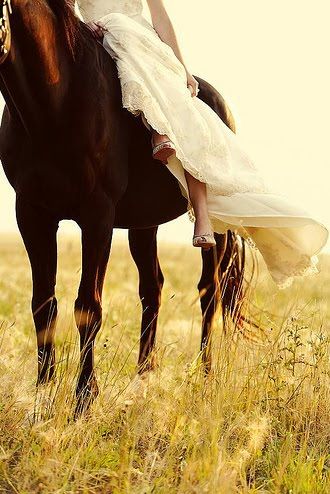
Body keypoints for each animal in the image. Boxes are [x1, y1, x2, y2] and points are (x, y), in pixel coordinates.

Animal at [0, 0, 245, 414]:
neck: (56, 100)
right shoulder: (32, 213)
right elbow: (43, 304)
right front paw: (42, 395)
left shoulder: (97, 216)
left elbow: (88, 306)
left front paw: (84, 398)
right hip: (143, 225)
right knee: (153, 288)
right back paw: (143, 377)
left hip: (217, 229)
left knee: (209, 291)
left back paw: (205, 375)